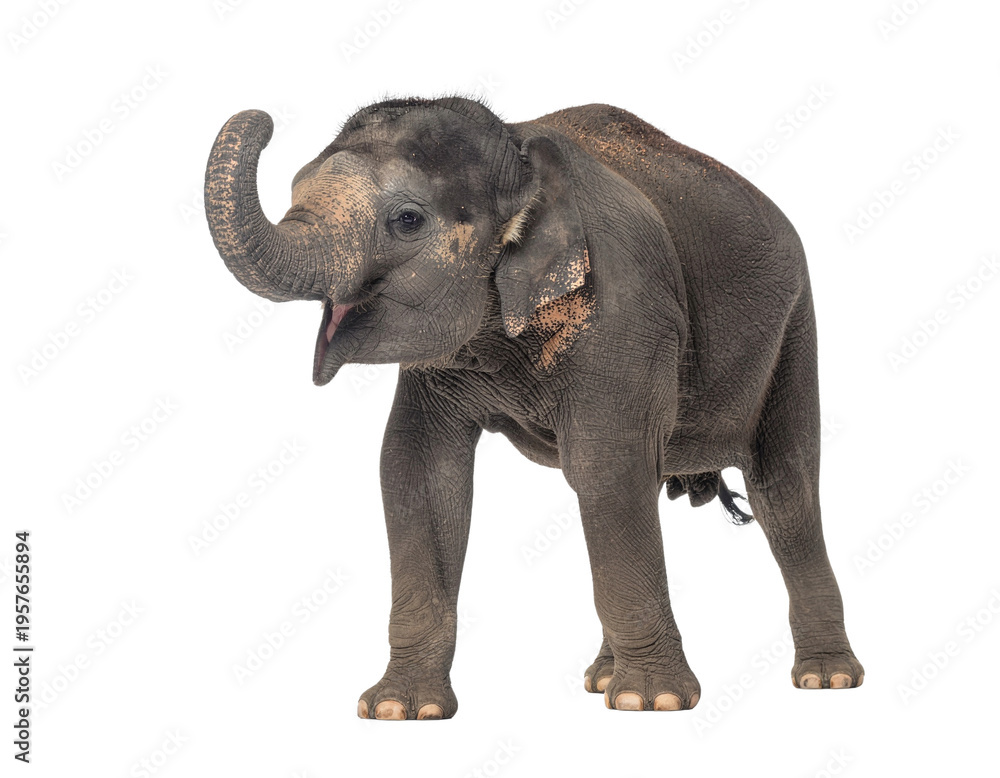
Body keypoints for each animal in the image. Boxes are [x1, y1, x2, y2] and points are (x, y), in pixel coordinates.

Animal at [204, 96, 863, 719]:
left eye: (408, 220)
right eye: (295, 186)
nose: (263, 118)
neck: (520, 153)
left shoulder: (626, 311)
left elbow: (606, 468)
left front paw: (650, 703)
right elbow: (417, 470)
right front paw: (397, 709)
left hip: (794, 329)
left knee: (784, 492)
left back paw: (825, 680)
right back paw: (601, 679)